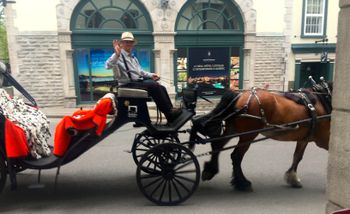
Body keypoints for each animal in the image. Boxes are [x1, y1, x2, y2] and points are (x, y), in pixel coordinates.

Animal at [193, 80, 332, 191]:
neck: (323, 100)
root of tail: (240, 95)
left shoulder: (305, 138)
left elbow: (297, 157)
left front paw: (292, 178)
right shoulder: (324, 139)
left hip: (233, 129)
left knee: (218, 145)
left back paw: (210, 170)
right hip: (249, 134)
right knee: (236, 156)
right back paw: (242, 183)